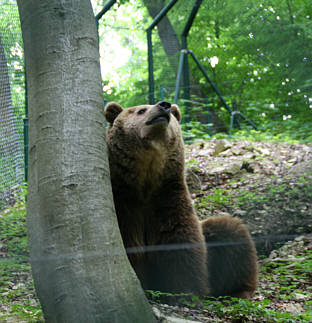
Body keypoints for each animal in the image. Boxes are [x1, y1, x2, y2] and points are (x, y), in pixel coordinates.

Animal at [105, 101, 258, 302]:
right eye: (140, 110)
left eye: (170, 110)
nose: (164, 106)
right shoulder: (124, 202)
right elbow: (129, 244)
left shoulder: (168, 198)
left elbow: (180, 245)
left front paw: (184, 293)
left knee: (230, 231)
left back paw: (240, 291)